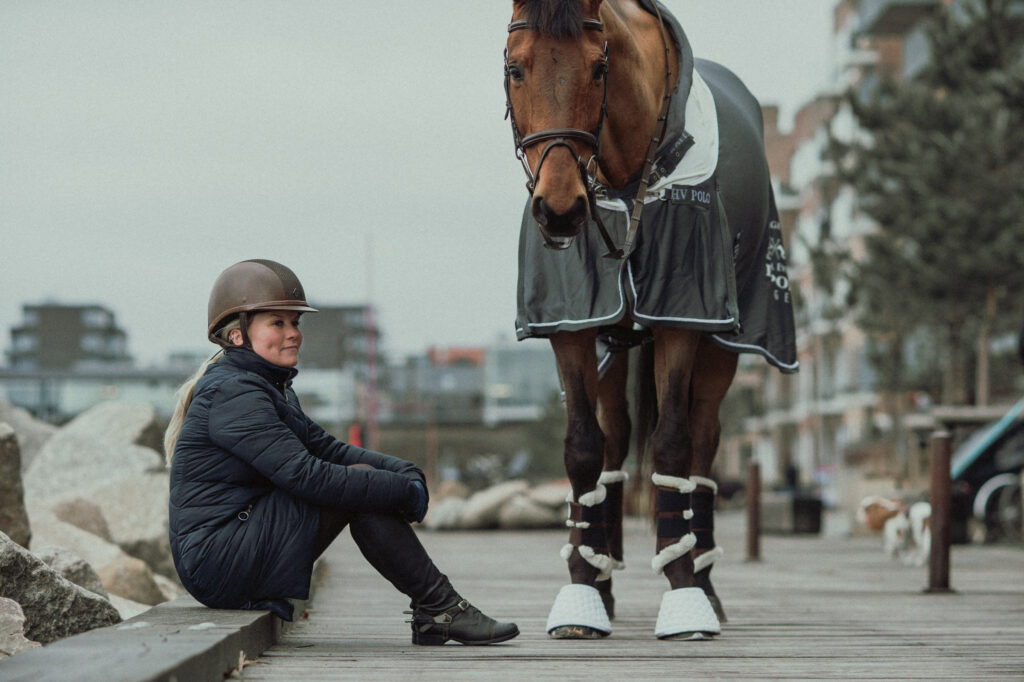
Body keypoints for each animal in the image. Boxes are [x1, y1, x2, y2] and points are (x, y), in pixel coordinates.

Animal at [503, 0, 798, 638]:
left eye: (598, 68)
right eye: (516, 68)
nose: (559, 211)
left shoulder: (684, 309)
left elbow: (671, 446)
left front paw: (684, 590)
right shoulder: (574, 320)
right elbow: (583, 447)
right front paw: (582, 590)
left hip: (723, 339)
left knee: (703, 442)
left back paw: (703, 580)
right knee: (614, 438)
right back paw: (603, 575)